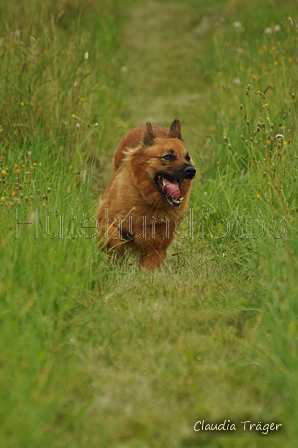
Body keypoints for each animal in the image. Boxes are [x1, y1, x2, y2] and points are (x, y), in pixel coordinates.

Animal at [97, 117, 196, 270]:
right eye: (168, 156)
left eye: (187, 157)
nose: (192, 171)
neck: (148, 199)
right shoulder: (105, 221)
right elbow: (114, 238)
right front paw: (118, 263)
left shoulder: (156, 247)